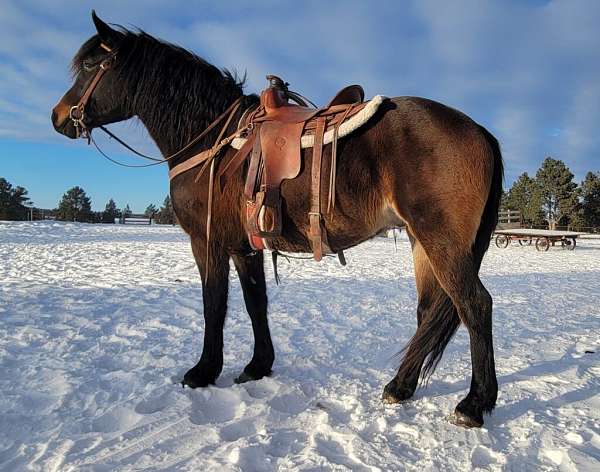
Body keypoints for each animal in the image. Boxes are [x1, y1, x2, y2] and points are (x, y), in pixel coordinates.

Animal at [50, 12, 502, 430]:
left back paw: (473, 404)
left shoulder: (207, 242)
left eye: (90, 65)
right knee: (430, 312)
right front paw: (257, 366)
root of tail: (480, 130)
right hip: (421, 242)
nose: (58, 116)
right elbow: (256, 303)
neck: (211, 141)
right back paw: (400, 386)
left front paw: (203, 371)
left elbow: (213, 304)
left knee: (475, 305)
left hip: (441, 241)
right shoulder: (244, 246)